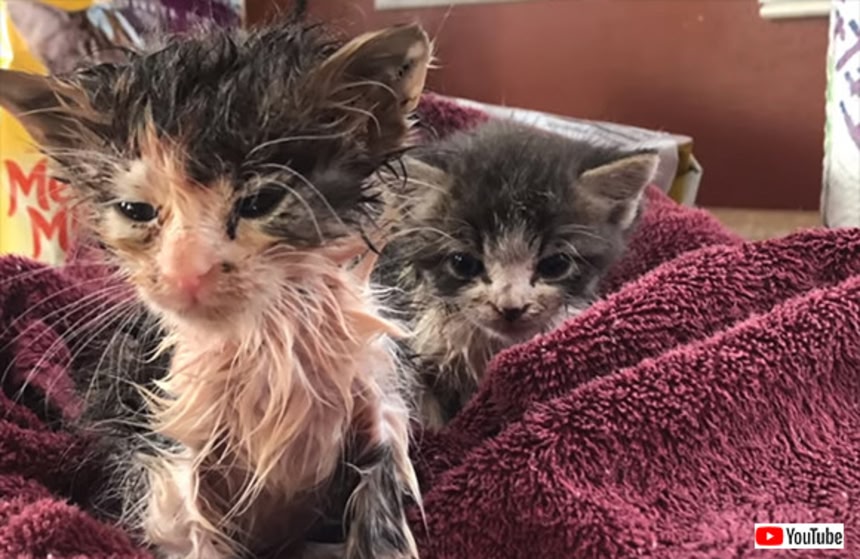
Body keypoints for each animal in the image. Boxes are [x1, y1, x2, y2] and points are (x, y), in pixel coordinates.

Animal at [0, 19, 431, 559]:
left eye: (260, 203)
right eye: (136, 211)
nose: (186, 272)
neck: (262, 338)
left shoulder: (377, 395)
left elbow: (383, 501)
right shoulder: (163, 441)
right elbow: (187, 527)